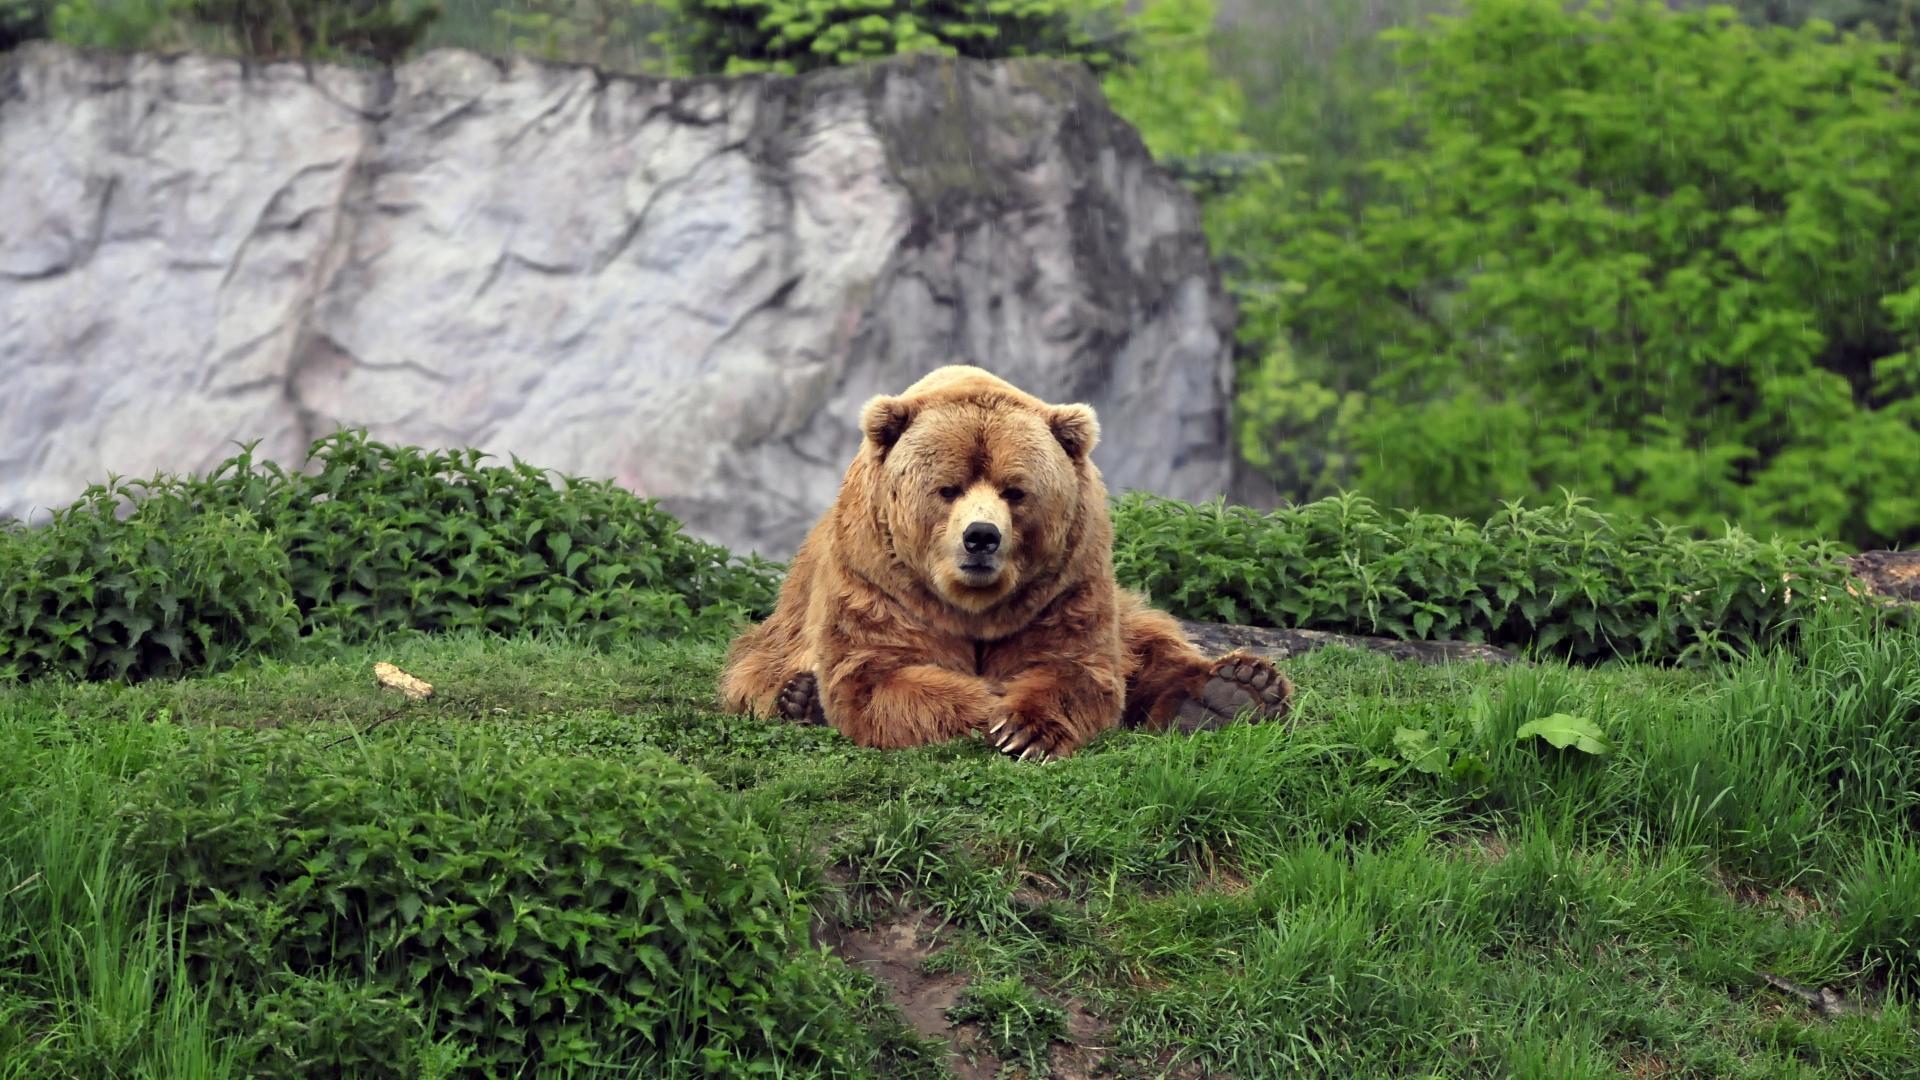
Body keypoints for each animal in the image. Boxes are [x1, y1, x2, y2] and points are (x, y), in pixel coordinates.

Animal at [719, 366, 1292, 760]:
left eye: (1015, 490)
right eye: (947, 488)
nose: (981, 537)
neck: (972, 605)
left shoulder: (1064, 585)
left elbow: (1078, 667)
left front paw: (1024, 728)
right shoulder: (878, 582)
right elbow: (880, 674)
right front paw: (987, 708)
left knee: (1150, 643)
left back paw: (1235, 690)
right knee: (759, 672)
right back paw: (798, 699)